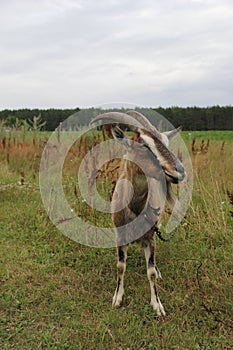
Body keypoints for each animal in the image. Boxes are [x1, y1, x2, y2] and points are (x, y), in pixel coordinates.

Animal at [91, 110, 186, 316]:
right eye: (144, 145)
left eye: (166, 143)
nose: (180, 171)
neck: (134, 208)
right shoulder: (119, 234)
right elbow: (120, 266)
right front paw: (117, 299)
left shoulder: (151, 236)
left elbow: (150, 271)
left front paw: (157, 305)